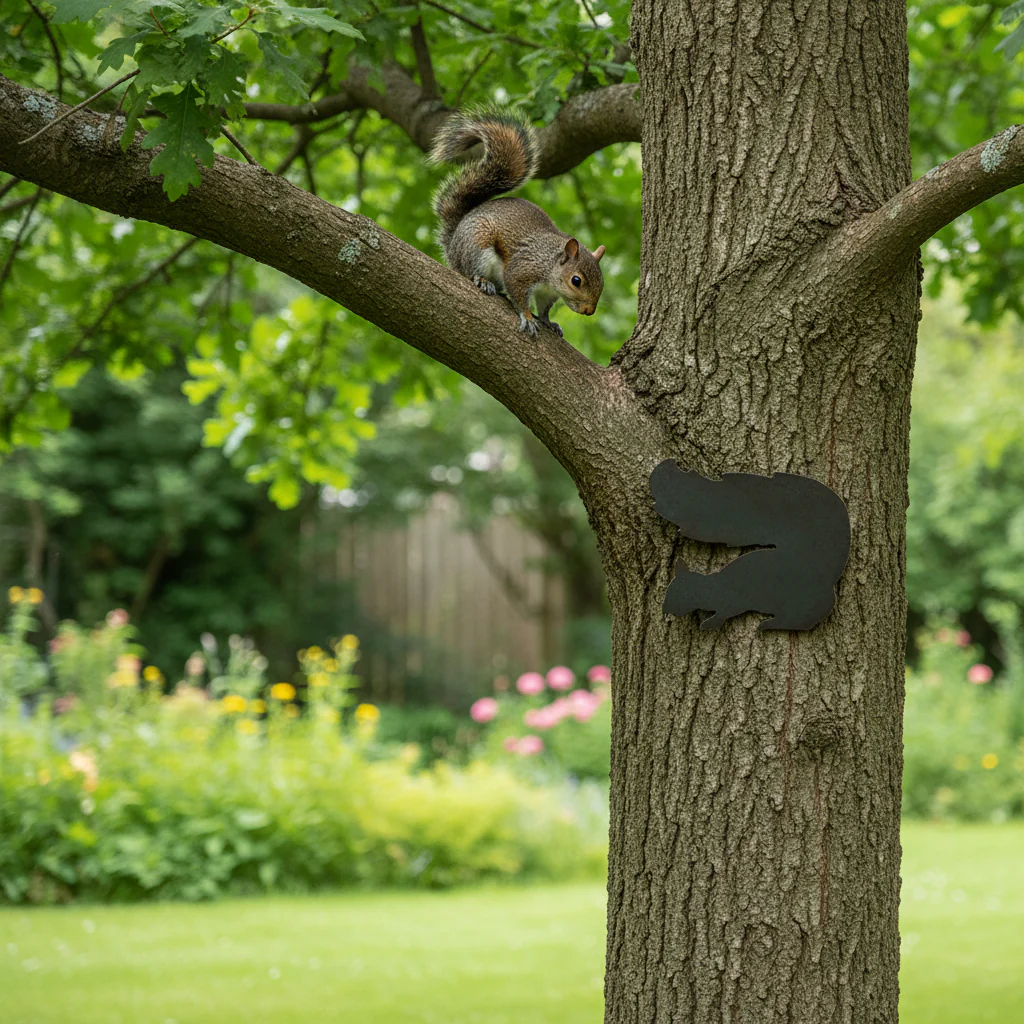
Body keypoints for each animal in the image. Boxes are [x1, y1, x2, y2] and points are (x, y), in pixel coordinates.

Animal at [429, 109, 606, 337]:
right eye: (576, 281)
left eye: (601, 281)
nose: (589, 311)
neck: (550, 264)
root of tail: (452, 244)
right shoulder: (523, 268)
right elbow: (518, 293)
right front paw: (528, 317)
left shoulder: (547, 294)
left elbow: (544, 309)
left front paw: (549, 322)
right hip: (477, 244)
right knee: (469, 271)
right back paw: (482, 281)